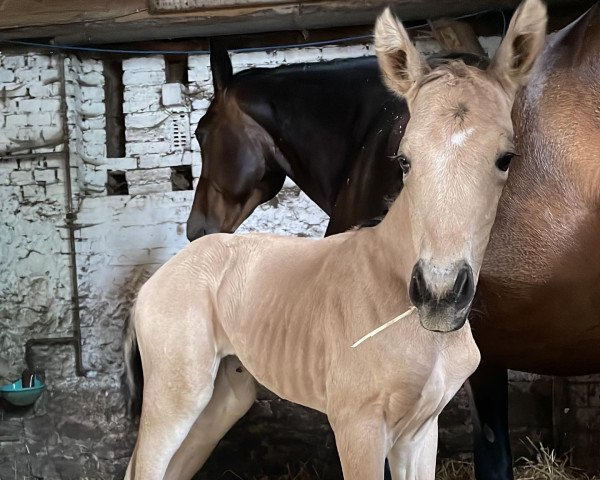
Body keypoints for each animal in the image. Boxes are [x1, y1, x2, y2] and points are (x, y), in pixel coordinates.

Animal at [124, 1, 548, 478]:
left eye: (506, 158)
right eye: (403, 159)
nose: (439, 295)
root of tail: (153, 283)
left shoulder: (419, 432)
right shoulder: (356, 425)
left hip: (222, 399)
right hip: (177, 398)